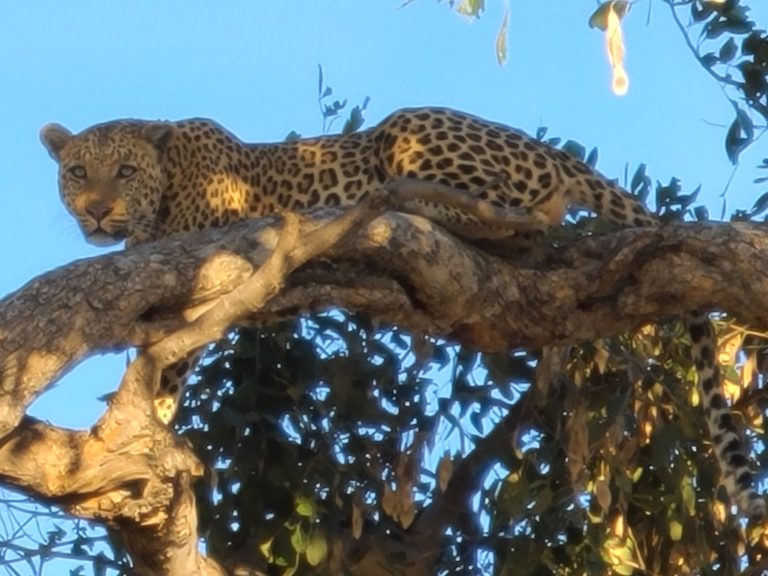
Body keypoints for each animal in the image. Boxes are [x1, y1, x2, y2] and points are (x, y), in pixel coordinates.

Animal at [40, 107, 765, 519]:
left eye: (126, 172)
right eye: (77, 173)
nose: (97, 211)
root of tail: (549, 150)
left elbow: (165, 371)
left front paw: (148, 437)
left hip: (411, 132)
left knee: (522, 213)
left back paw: (409, 205)